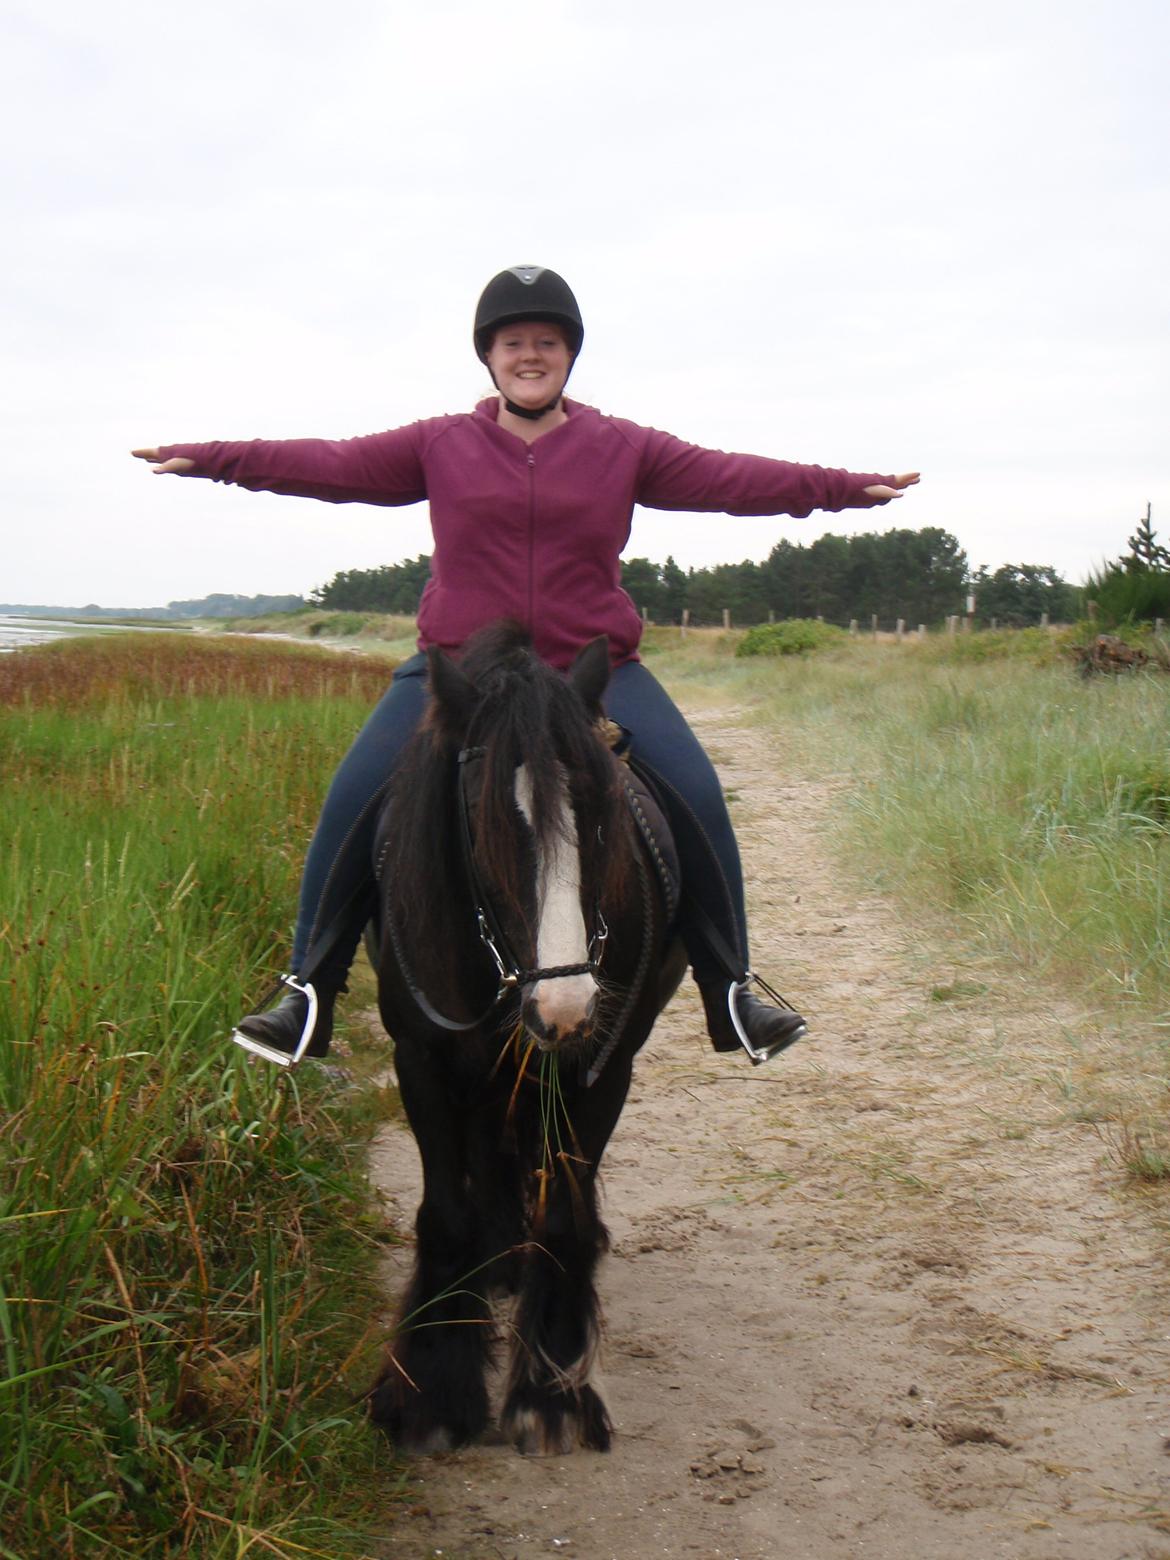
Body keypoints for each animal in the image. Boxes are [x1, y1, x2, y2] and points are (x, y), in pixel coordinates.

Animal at [366, 617, 686, 1447]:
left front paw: (552, 1392)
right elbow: (446, 1215)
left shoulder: (603, 1067)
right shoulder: (422, 1061)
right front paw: (432, 1394)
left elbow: (566, 1216)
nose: (566, 1009)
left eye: (604, 816)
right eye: (481, 830)